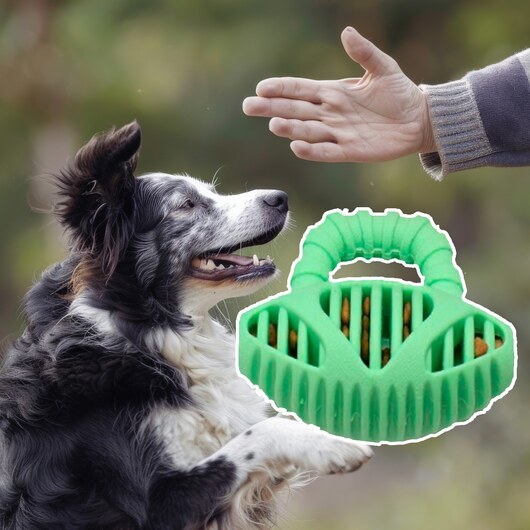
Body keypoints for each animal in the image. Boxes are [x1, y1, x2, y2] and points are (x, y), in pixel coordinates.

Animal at [0, 121, 372, 524]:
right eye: (186, 205)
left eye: (212, 192)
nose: (280, 198)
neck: (147, 327)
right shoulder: (161, 504)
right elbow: (258, 434)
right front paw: (333, 446)